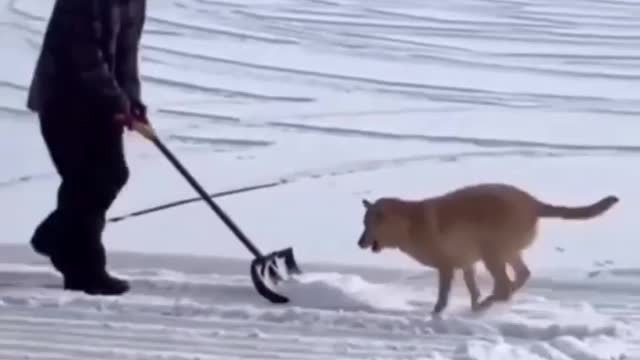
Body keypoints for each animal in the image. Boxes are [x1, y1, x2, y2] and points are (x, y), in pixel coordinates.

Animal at [358, 183, 616, 316]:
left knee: (505, 284)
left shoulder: (446, 267)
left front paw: (437, 313)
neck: (410, 222)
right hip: (504, 254)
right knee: (520, 276)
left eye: (367, 225)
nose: (359, 243)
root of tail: (533, 203)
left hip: (492, 253)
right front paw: (473, 305)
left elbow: (443, 295)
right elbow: (472, 289)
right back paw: (493, 302)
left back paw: (492, 302)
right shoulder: (467, 264)